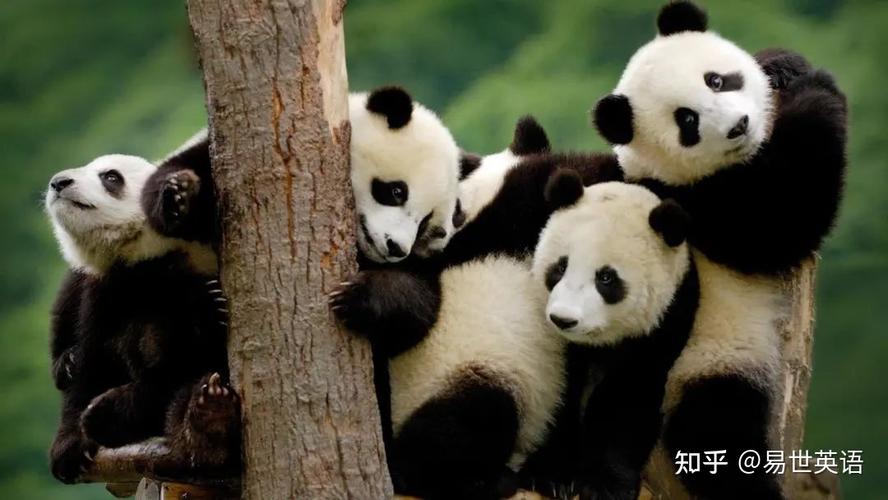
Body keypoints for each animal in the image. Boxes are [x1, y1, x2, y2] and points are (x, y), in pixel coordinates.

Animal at [45, 137, 239, 483]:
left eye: (111, 177)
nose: (59, 182)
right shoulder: (110, 288)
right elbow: (93, 358)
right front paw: (69, 446)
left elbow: (175, 363)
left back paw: (207, 423)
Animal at [521, 175, 698, 500]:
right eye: (560, 266)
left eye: (606, 278)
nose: (563, 319)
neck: (596, 343)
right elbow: (559, 388)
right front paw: (549, 475)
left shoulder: (665, 322)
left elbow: (628, 399)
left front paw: (604, 486)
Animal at [591, 2, 847, 498]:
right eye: (687, 121)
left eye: (716, 80)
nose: (739, 126)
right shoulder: (692, 205)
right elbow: (781, 220)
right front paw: (818, 88)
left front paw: (784, 65)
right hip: (705, 359)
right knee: (719, 436)